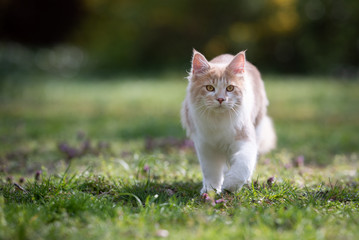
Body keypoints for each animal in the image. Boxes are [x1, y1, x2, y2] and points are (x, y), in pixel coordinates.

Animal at [181, 49, 278, 194]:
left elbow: (243, 166)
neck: (219, 121)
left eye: (230, 88)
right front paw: (210, 190)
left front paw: (230, 185)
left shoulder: (245, 140)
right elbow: (211, 171)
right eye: (210, 88)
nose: (221, 99)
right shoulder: (206, 147)